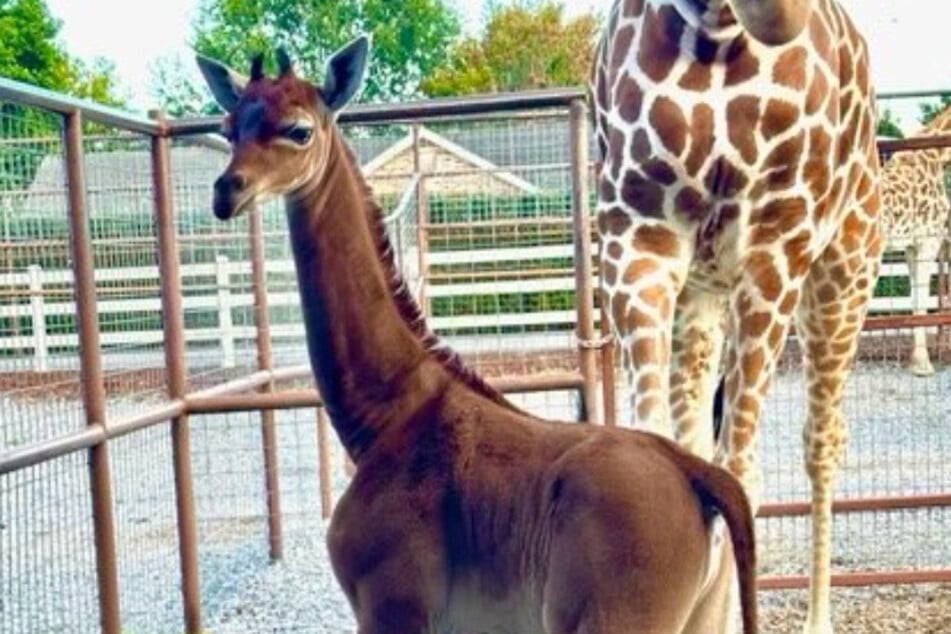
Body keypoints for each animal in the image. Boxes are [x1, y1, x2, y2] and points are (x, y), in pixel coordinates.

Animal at [199, 37, 760, 632]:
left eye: (299, 130)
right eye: (229, 126)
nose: (227, 191)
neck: (385, 417)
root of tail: (699, 476)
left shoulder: (392, 607)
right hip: (703, 616)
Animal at [592, 1, 880, 632]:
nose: (781, 14)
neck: (717, 34)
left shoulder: (776, 244)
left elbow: (742, 476)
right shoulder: (637, 237)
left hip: (844, 274)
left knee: (822, 440)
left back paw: (817, 619)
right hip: (700, 299)